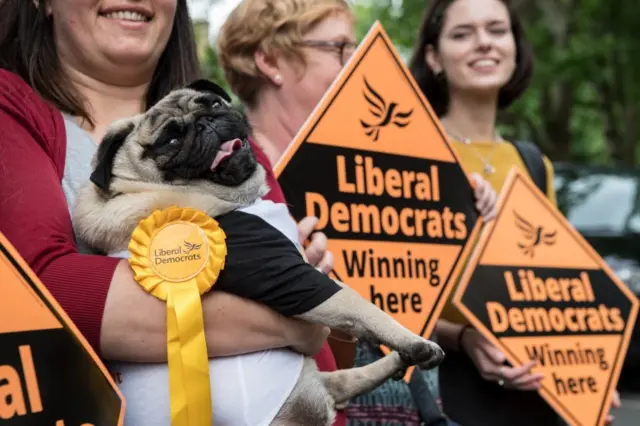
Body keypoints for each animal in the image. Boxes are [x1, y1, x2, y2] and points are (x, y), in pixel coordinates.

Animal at [74, 80, 444, 426]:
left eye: (212, 103)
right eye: (171, 140)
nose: (206, 122)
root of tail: (320, 401)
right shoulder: (288, 276)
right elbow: (362, 307)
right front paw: (409, 339)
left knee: (346, 382)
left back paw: (398, 360)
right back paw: (414, 351)